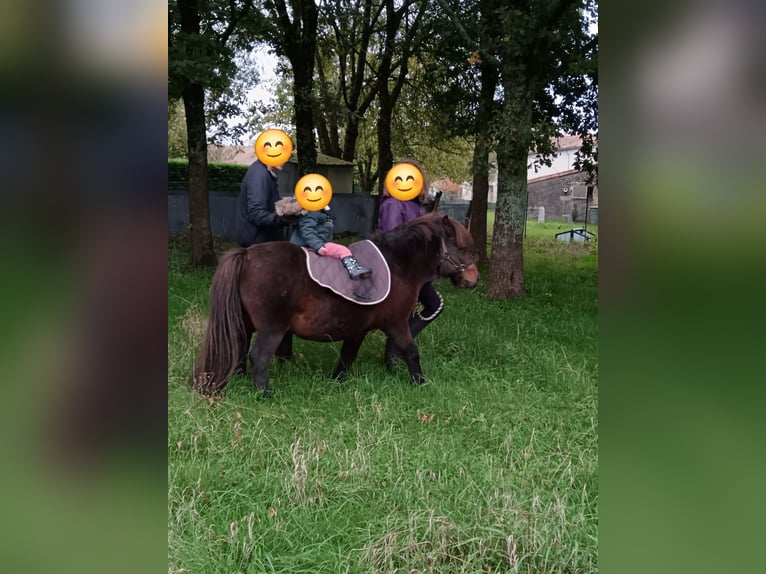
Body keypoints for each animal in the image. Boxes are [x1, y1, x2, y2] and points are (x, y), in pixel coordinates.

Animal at [194, 213, 480, 400]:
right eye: (462, 247)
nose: (473, 279)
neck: (398, 264)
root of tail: (246, 254)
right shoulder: (396, 323)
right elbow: (411, 352)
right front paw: (420, 382)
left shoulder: (358, 329)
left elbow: (347, 357)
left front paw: (337, 381)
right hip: (272, 329)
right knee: (259, 357)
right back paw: (264, 395)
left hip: (244, 324)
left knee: (240, 350)